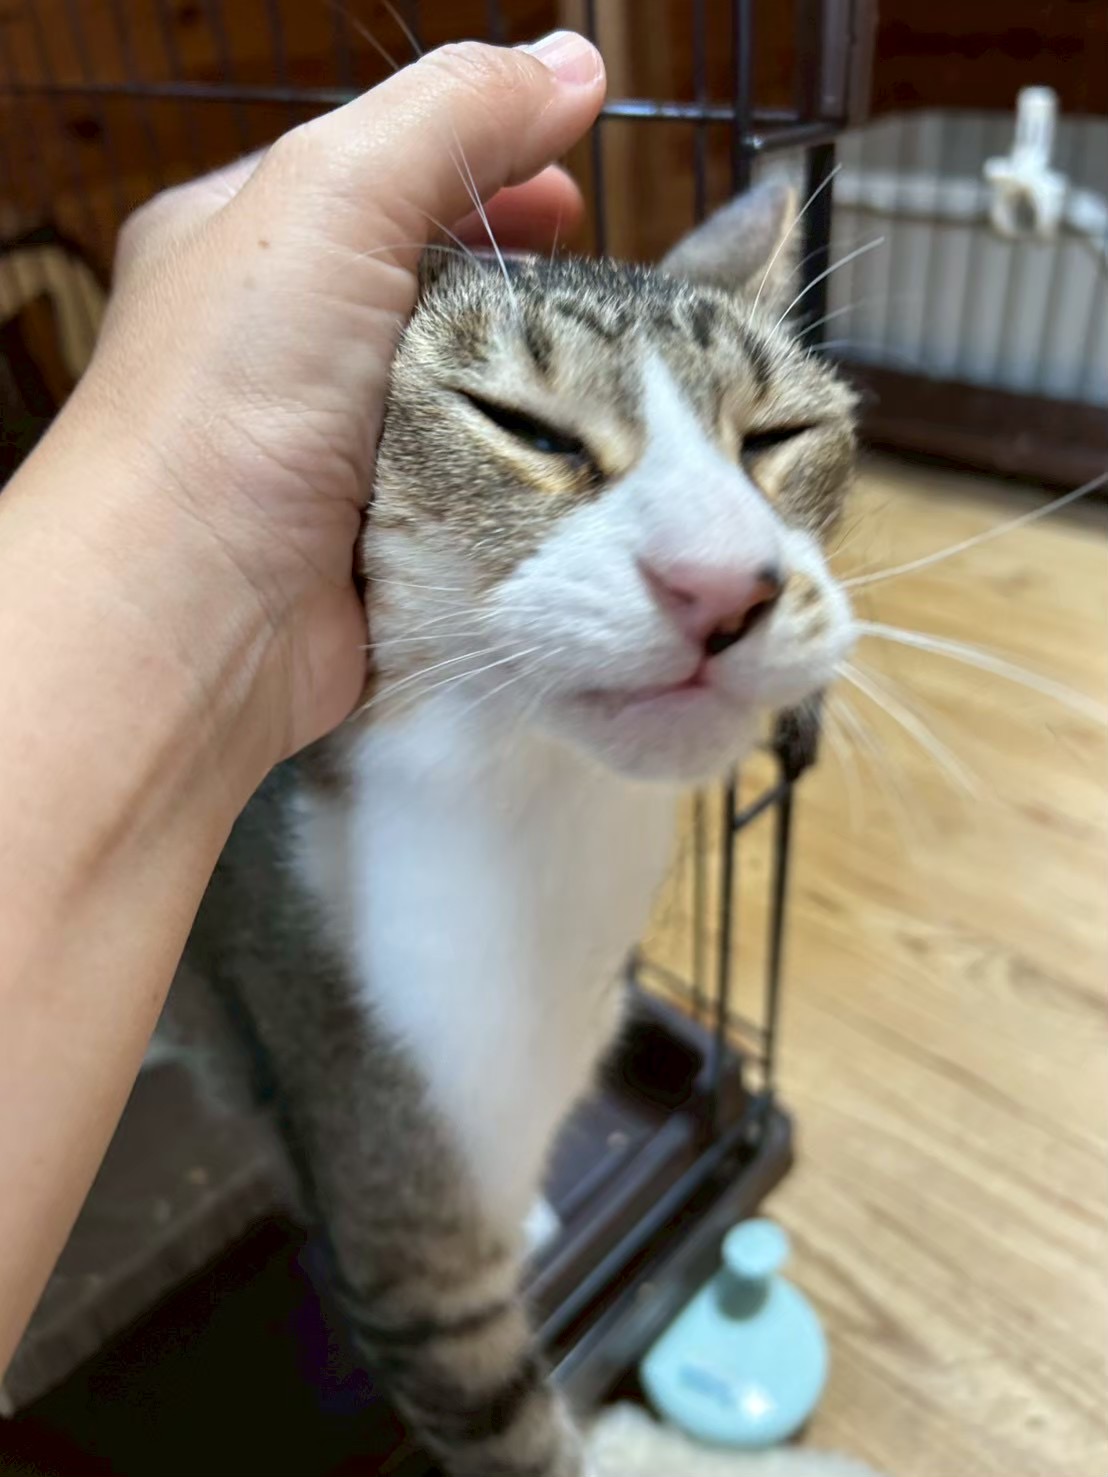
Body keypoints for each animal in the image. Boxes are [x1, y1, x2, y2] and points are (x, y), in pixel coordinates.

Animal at [175, 177, 858, 1477]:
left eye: (777, 437)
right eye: (524, 429)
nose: (722, 583)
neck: (545, 821)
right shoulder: (404, 1218)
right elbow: (519, 1429)